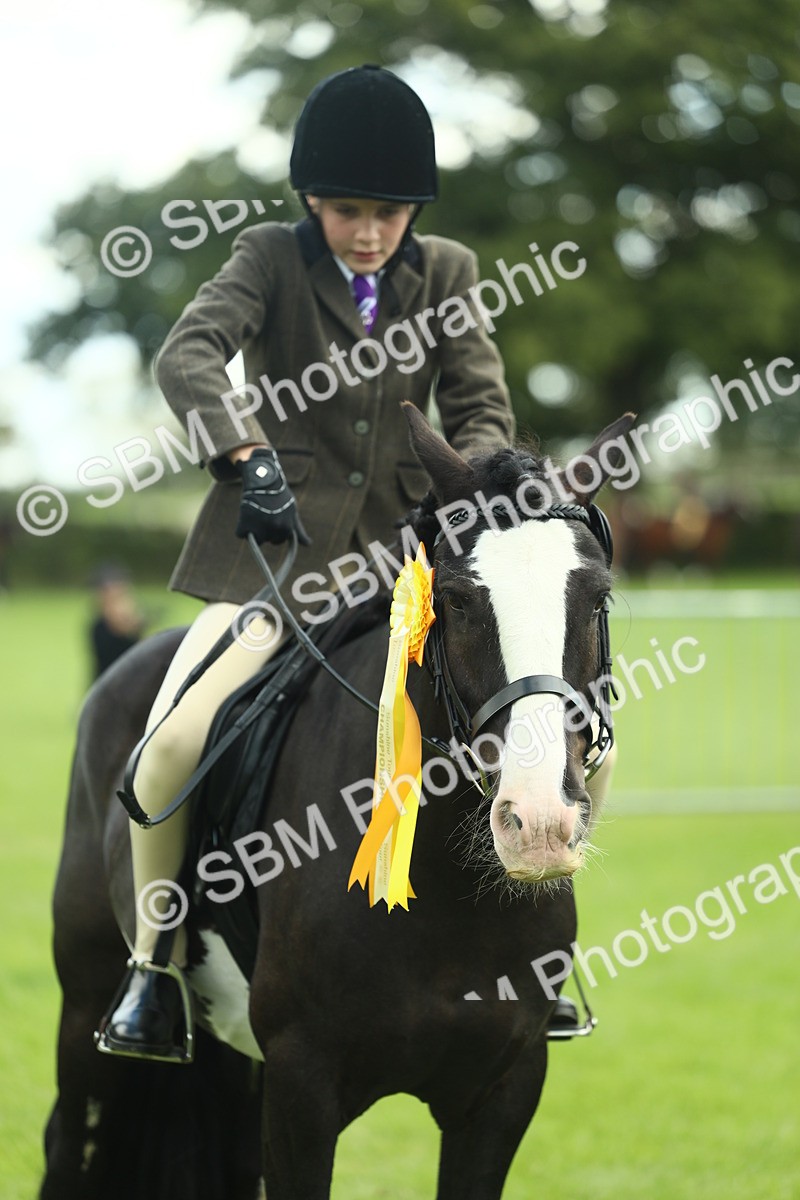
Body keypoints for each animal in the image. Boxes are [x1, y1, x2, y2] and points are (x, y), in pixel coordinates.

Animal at [40, 407, 634, 1200]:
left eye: (597, 598)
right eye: (456, 601)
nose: (537, 825)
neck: (450, 898)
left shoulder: (502, 1093)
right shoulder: (303, 1089)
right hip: (86, 1010)